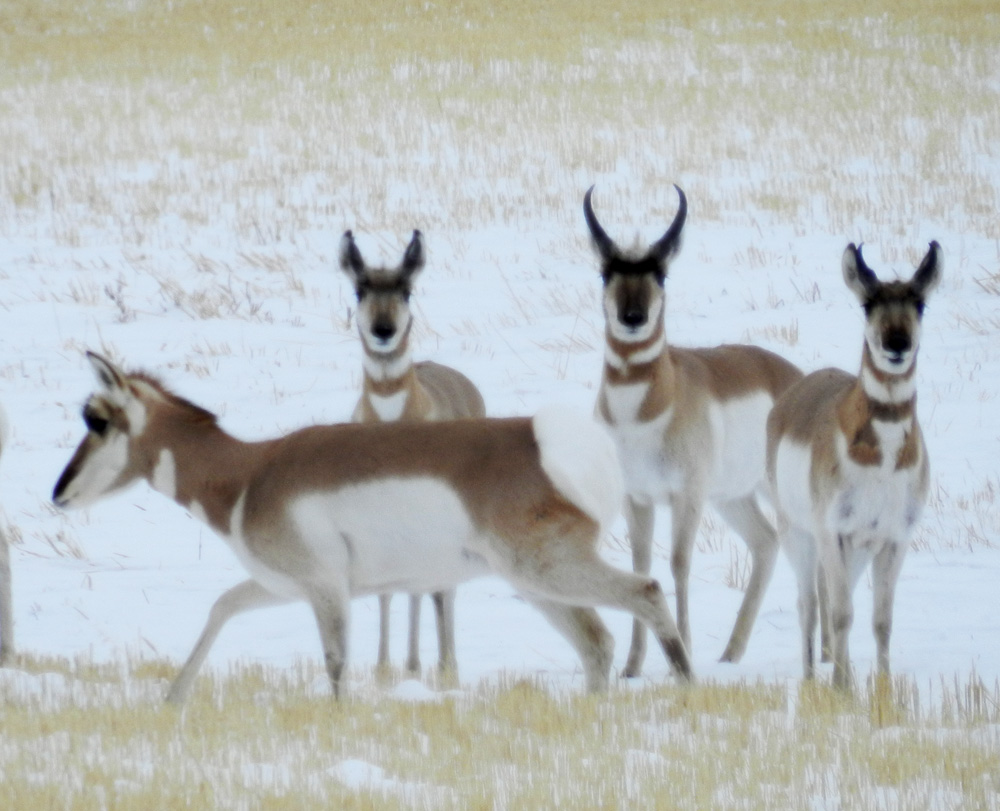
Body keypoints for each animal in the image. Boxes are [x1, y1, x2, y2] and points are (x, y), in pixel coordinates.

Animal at [52, 352, 693, 703]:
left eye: (97, 420)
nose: (58, 492)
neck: (249, 472)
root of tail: (550, 439)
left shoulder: (325, 590)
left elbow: (336, 662)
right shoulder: (281, 587)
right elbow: (221, 607)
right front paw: (172, 700)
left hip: (549, 570)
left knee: (645, 593)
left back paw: (685, 688)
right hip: (538, 584)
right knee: (596, 642)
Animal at [339, 229, 486, 679]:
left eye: (406, 289)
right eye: (360, 288)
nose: (383, 329)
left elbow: (435, 587)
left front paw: (444, 667)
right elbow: (388, 588)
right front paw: (385, 668)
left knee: (442, 586)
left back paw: (441, 662)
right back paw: (411, 662)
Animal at [583, 185, 804, 677]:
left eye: (661, 274)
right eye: (607, 272)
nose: (632, 316)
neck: (642, 412)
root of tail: (792, 377)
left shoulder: (686, 496)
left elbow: (679, 563)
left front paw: (681, 653)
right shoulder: (638, 498)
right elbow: (642, 564)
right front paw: (632, 667)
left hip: (772, 496)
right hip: (733, 497)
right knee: (766, 543)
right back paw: (731, 653)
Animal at [767, 241, 941, 690]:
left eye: (919, 303)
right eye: (868, 304)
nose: (896, 343)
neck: (882, 459)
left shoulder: (893, 539)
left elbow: (881, 621)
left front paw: (883, 686)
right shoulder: (834, 533)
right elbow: (843, 613)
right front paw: (842, 688)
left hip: (857, 550)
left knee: (827, 601)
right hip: (799, 535)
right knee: (810, 604)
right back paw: (812, 676)